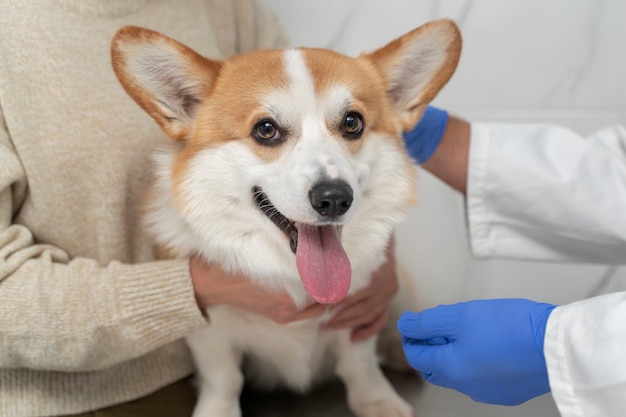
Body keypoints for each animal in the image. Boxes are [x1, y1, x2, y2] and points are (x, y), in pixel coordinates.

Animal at [111, 19, 458, 416]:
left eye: (352, 123)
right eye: (266, 129)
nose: (334, 199)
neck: (293, 275)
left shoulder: (363, 308)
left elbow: (360, 363)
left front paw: (377, 400)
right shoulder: (209, 326)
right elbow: (223, 377)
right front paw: (218, 410)